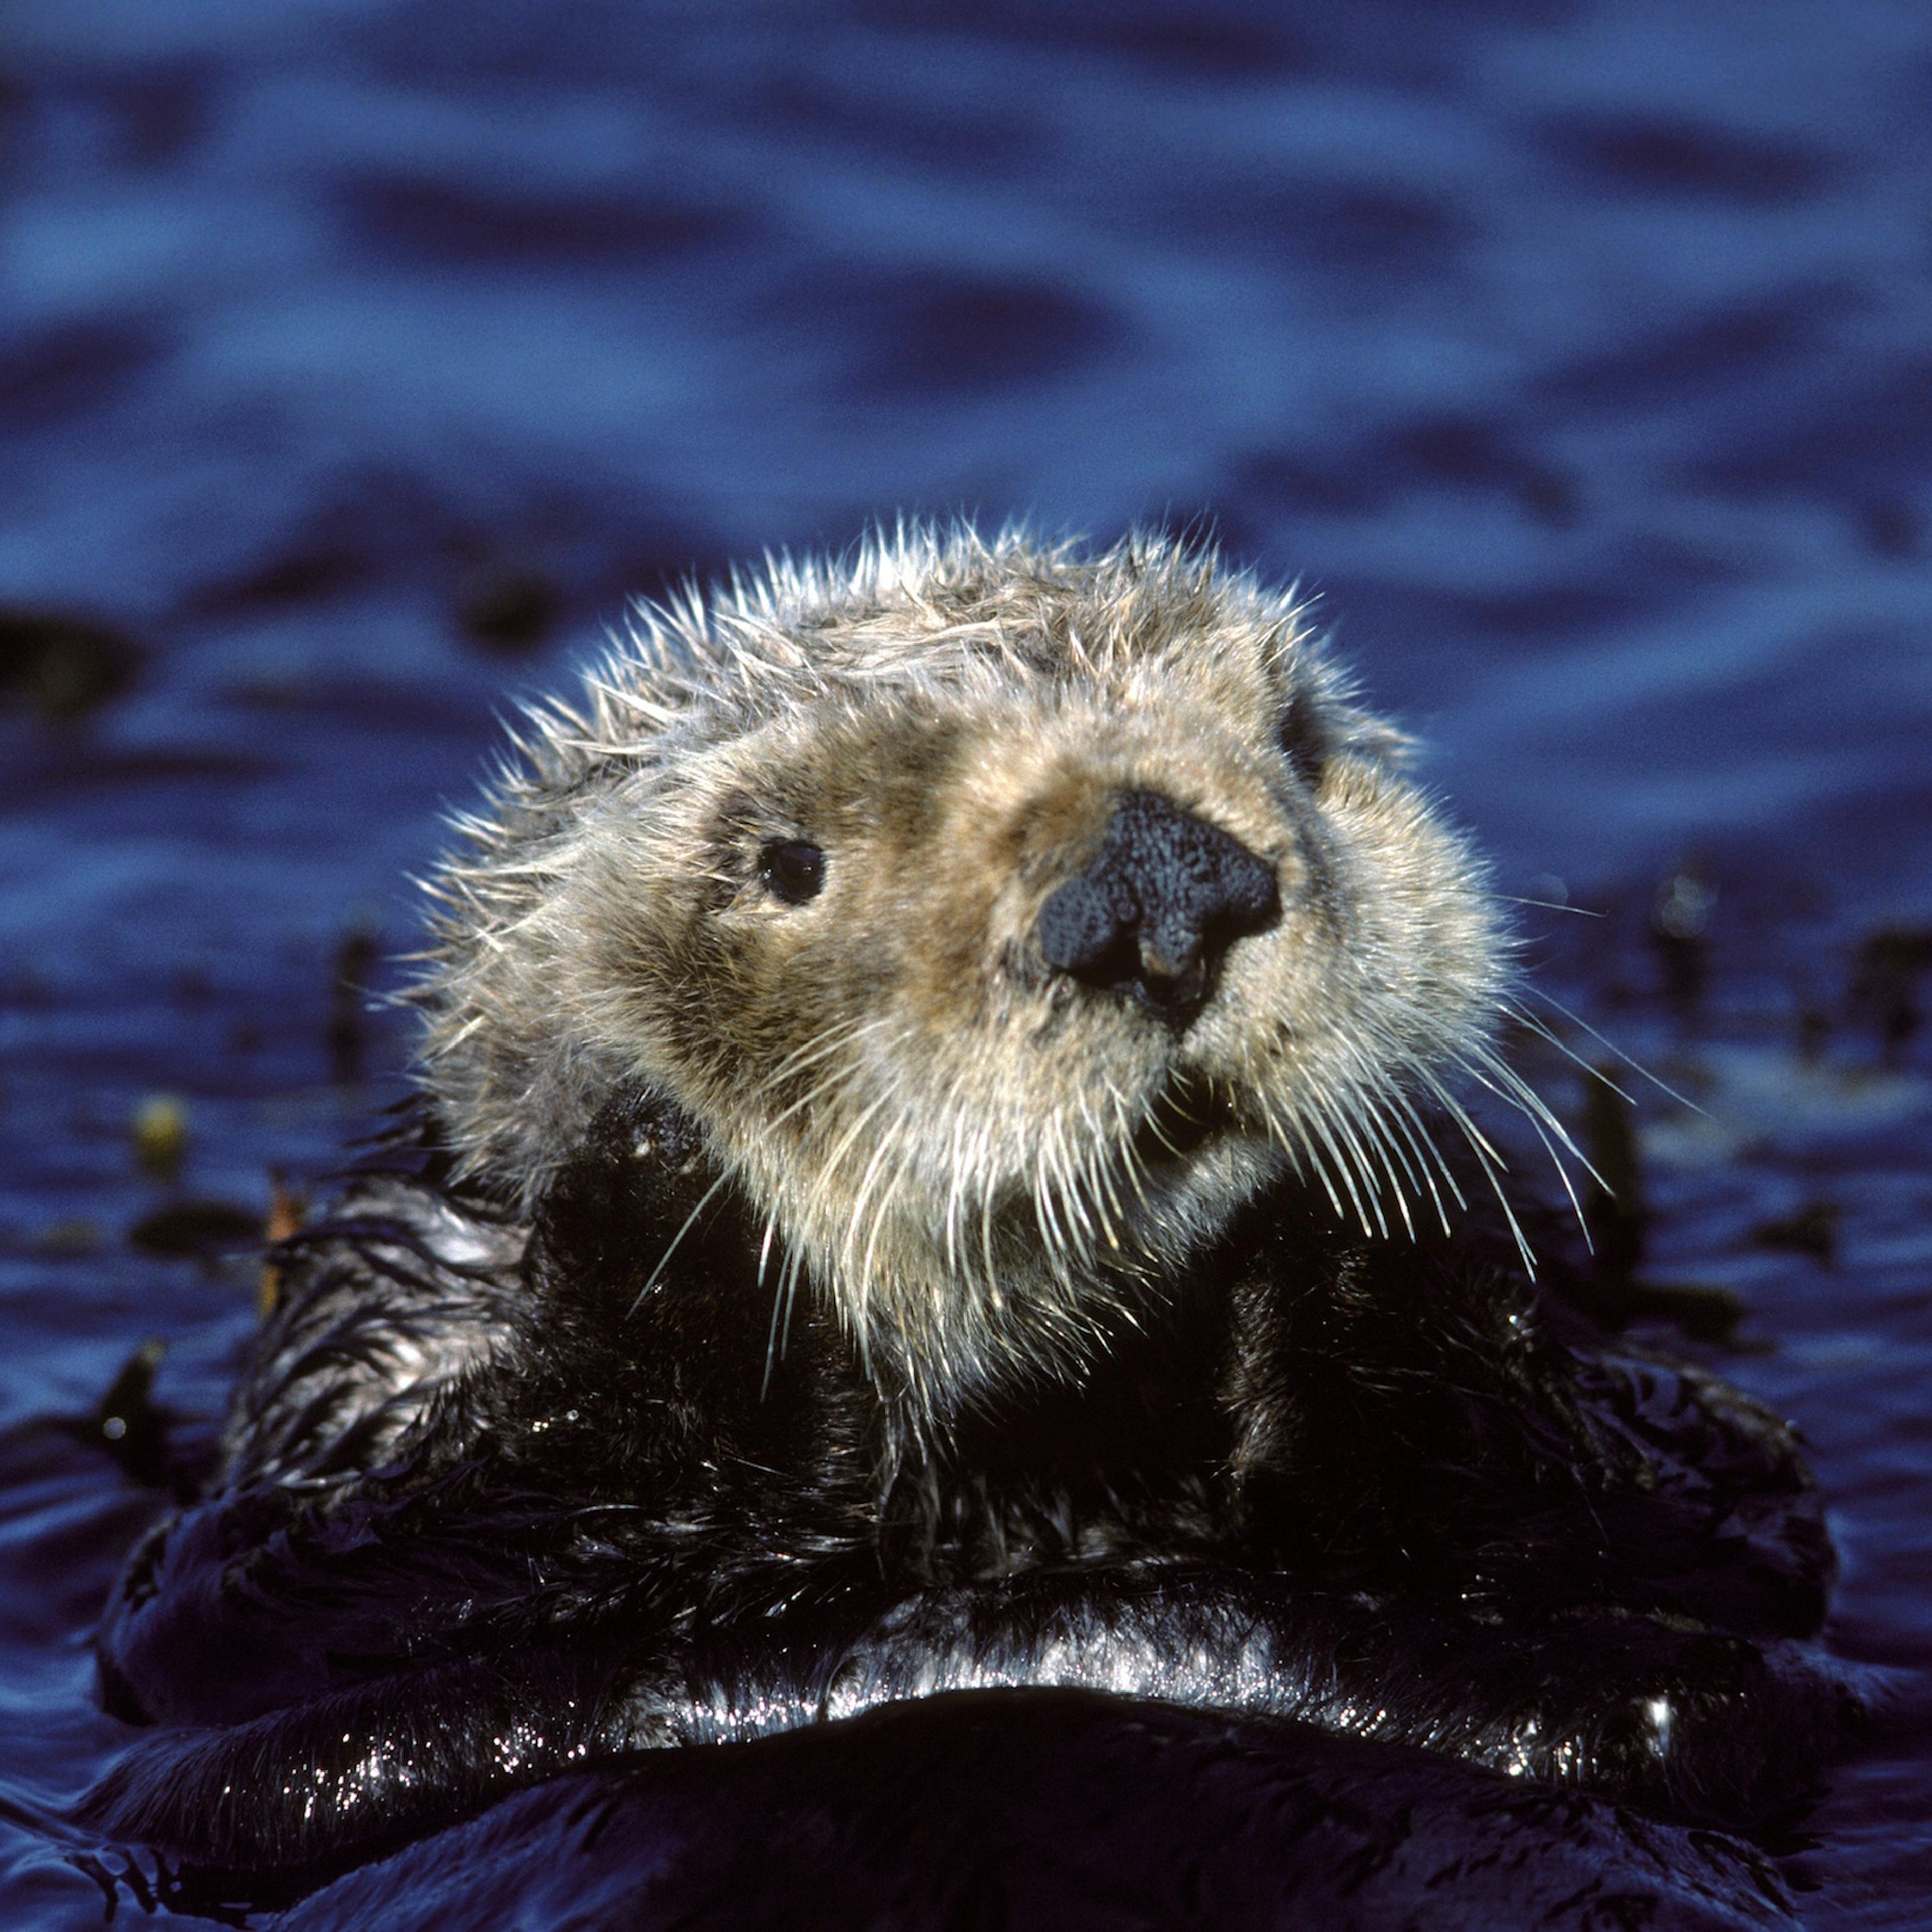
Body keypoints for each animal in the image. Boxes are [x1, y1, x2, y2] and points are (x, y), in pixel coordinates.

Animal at [86, 527, 1849, 1885]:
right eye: (780, 862)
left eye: (1295, 741)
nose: (1161, 877)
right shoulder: (361, 1353)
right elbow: (280, 1569)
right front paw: (670, 1167)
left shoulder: (1671, 1476)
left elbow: (1709, 1490)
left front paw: (1337, 1197)